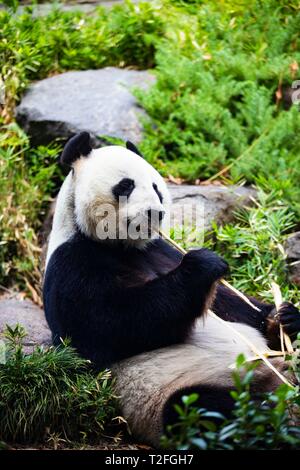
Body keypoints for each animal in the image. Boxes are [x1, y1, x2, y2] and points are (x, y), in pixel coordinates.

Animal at [43, 132, 300, 448]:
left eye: (156, 187)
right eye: (126, 185)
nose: (155, 213)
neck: (122, 247)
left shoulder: (160, 250)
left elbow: (231, 305)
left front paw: (283, 317)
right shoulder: (73, 263)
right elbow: (108, 324)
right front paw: (204, 264)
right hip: (176, 394)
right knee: (205, 409)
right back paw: (272, 416)